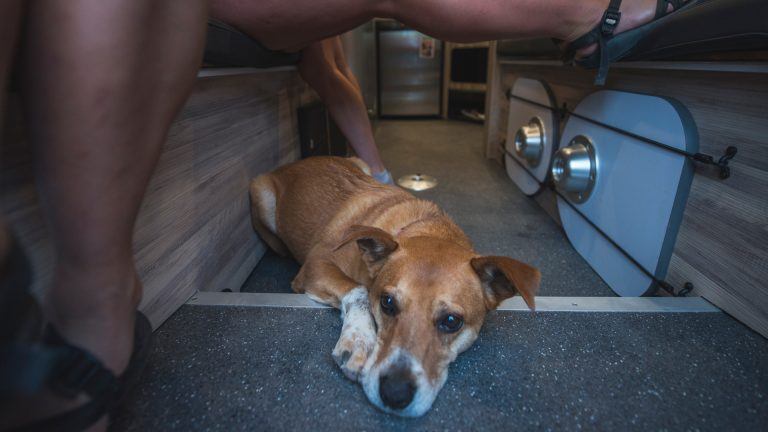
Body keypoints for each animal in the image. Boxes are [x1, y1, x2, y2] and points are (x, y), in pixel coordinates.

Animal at [249, 156, 540, 417]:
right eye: (387, 303)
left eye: (451, 321)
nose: (394, 394)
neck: (427, 227)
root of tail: (296, 162)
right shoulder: (316, 264)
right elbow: (359, 290)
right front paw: (359, 341)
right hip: (261, 194)